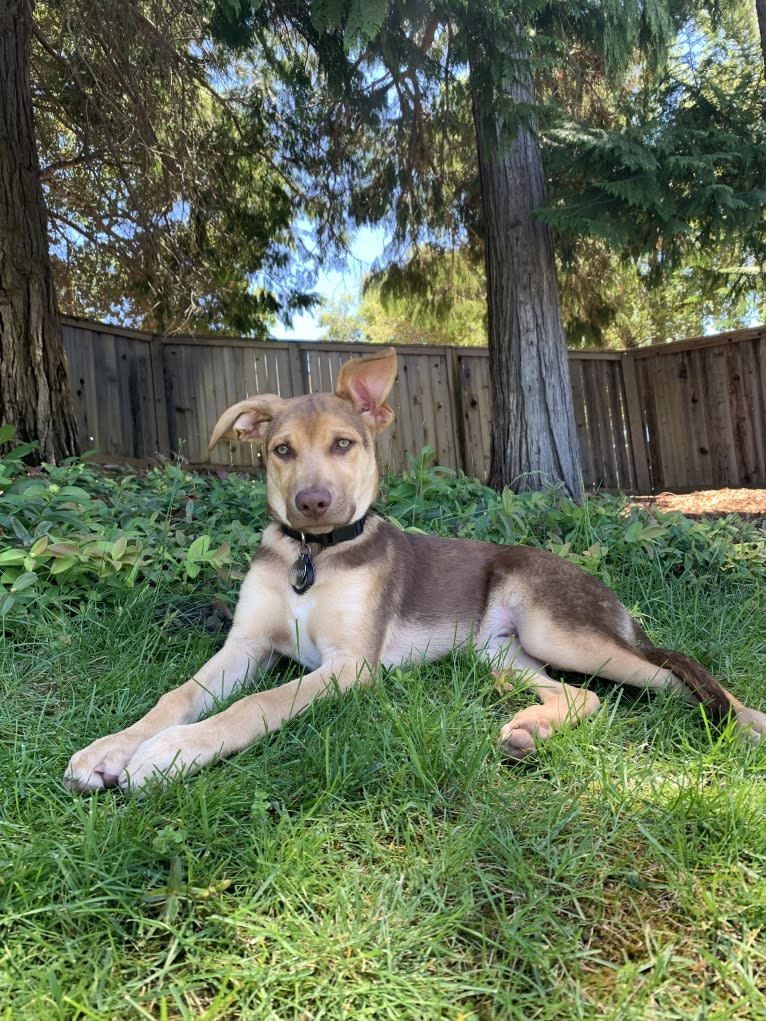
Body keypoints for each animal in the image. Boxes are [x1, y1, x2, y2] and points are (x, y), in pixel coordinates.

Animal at [65, 347, 766, 792]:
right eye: (280, 450)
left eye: (343, 444)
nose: (312, 503)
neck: (315, 555)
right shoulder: (245, 645)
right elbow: (178, 695)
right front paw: (112, 747)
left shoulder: (349, 665)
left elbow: (258, 704)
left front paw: (171, 753)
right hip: (499, 650)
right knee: (584, 696)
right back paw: (529, 730)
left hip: (559, 628)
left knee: (673, 677)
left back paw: (749, 724)